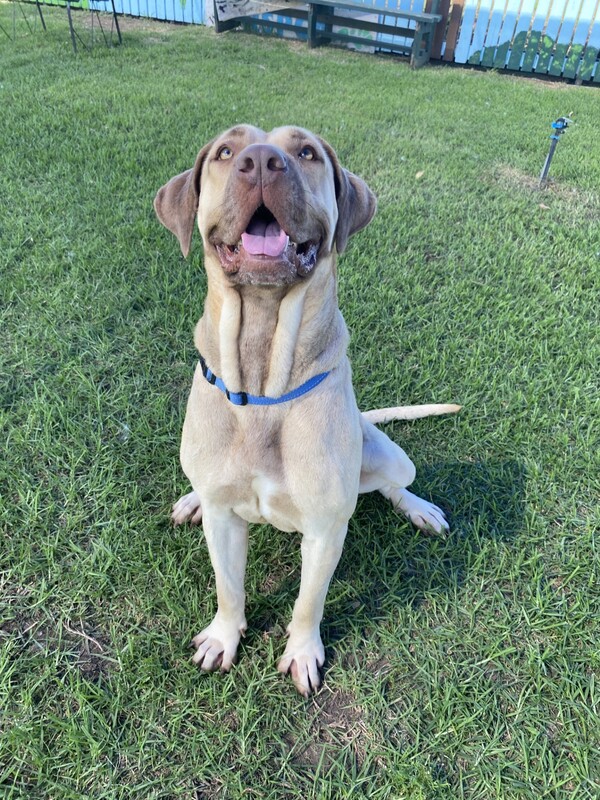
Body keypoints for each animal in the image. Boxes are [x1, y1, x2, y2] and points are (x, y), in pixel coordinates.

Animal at [154, 125, 459, 696]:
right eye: (226, 151)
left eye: (306, 152)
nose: (261, 161)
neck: (262, 382)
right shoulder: (226, 523)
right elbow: (229, 587)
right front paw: (223, 637)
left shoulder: (324, 529)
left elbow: (307, 602)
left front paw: (301, 653)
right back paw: (192, 500)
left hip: (391, 458)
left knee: (390, 483)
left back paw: (418, 508)